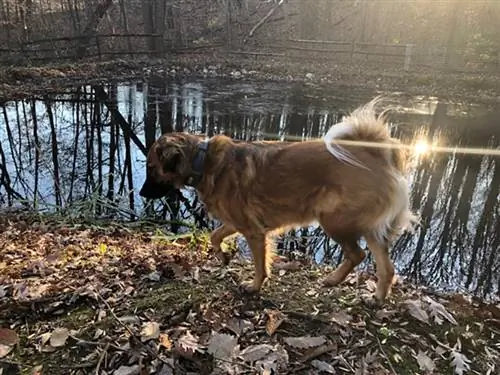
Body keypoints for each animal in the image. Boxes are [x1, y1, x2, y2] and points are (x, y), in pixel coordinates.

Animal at [140, 97, 418, 306]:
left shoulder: (253, 231)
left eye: (151, 168)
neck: (204, 161)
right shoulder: (236, 222)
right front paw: (223, 257)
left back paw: (335, 280)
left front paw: (254, 286)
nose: (141, 194)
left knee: (357, 254)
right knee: (386, 267)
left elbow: (260, 265)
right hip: (368, 227)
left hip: (333, 219)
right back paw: (374, 298)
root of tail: (374, 153)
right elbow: (215, 235)